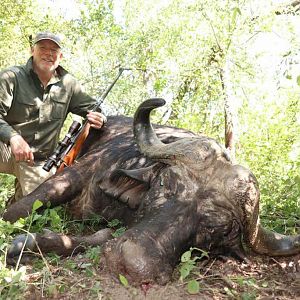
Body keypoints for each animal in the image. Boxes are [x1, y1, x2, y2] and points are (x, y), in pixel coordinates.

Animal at [2, 98, 300, 284]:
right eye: (164, 184)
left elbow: (101, 237)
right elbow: (23, 207)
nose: (131, 262)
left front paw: (29, 243)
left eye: (216, 229)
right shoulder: (78, 173)